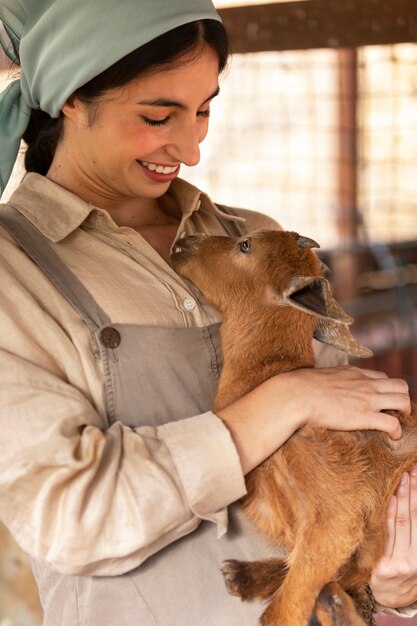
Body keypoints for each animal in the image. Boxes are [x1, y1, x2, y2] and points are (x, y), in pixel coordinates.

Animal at [171, 229, 416, 624]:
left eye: (245, 244)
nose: (184, 240)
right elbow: (312, 574)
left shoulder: (339, 511)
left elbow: (290, 602)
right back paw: (247, 577)